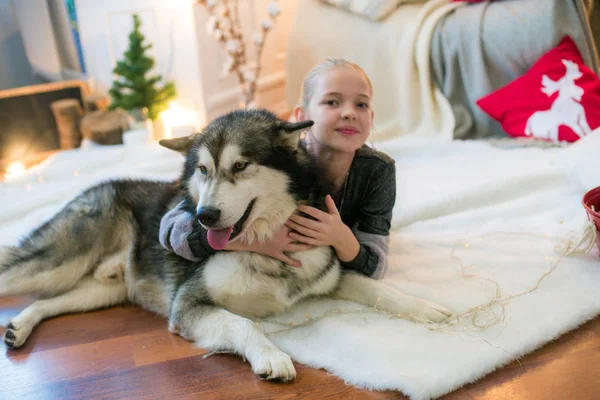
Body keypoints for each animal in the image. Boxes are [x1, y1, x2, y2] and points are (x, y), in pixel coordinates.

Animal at [1, 108, 450, 382]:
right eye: (203, 170)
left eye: (240, 165)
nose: (203, 217)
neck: (265, 243)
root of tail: (98, 186)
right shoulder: (187, 305)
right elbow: (242, 322)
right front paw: (271, 356)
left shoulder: (330, 273)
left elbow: (377, 287)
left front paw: (428, 308)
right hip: (57, 262)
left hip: (100, 290)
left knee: (47, 301)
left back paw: (19, 327)